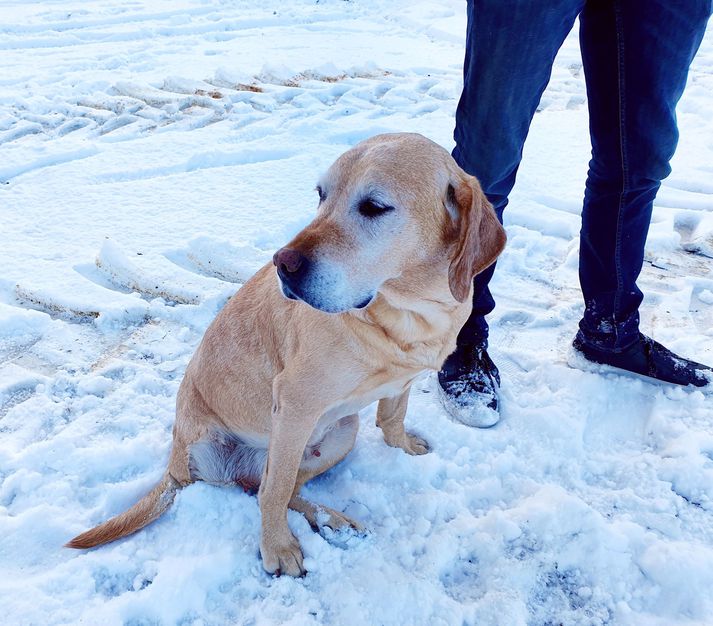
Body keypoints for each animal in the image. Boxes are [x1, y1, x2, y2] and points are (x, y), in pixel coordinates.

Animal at [64, 132, 504, 576]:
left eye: (374, 206)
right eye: (321, 195)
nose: (282, 263)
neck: (408, 314)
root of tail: (173, 468)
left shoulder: (400, 381)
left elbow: (392, 417)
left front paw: (404, 448)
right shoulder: (294, 401)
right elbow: (273, 492)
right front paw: (276, 548)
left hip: (342, 432)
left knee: (279, 485)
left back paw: (332, 519)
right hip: (229, 443)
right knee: (268, 486)